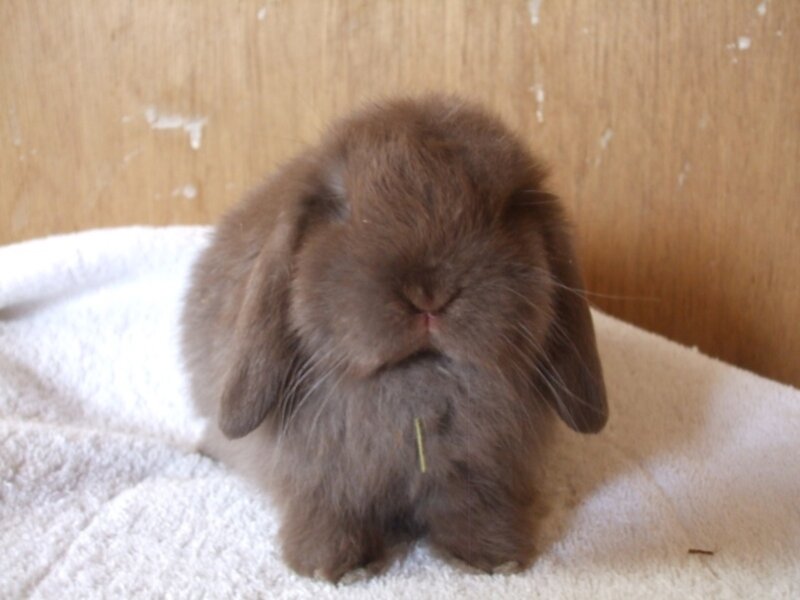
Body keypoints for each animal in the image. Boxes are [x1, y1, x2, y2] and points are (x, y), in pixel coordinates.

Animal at [181, 95, 608, 582]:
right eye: (343, 206)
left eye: (505, 208)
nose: (428, 293)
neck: (419, 389)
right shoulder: (323, 481)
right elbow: (328, 513)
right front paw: (334, 568)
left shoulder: (481, 476)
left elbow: (474, 511)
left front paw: (494, 558)